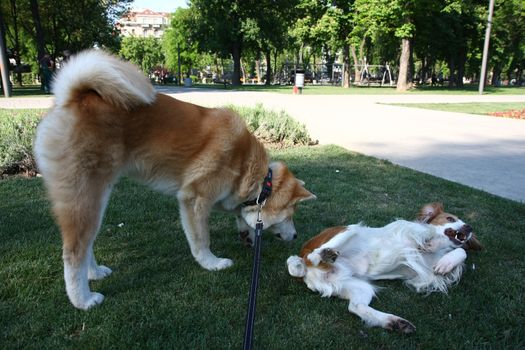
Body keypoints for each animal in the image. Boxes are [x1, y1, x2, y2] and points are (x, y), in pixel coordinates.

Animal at [36, 49, 316, 308]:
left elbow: (241, 217)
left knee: (86, 245)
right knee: (73, 253)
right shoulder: (194, 199)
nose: (295, 236)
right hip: (85, 197)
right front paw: (212, 263)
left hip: (97, 198)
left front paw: (246, 233)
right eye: (290, 215)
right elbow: (201, 240)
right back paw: (83, 300)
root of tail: (71, 97)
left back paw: (94, 273)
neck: (248, 168)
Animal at [286, 202, 478, 334]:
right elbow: (428, 232)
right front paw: (432, 242)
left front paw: (446, 263)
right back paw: (323, 255)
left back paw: (395, 322)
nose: (469, 227)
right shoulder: (410, 231)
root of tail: (305, 269)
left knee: (355, 307)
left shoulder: (423, 274)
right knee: (312, 256)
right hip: (350, 229)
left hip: (355, 285)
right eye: (450, 218)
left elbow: (460, 251)